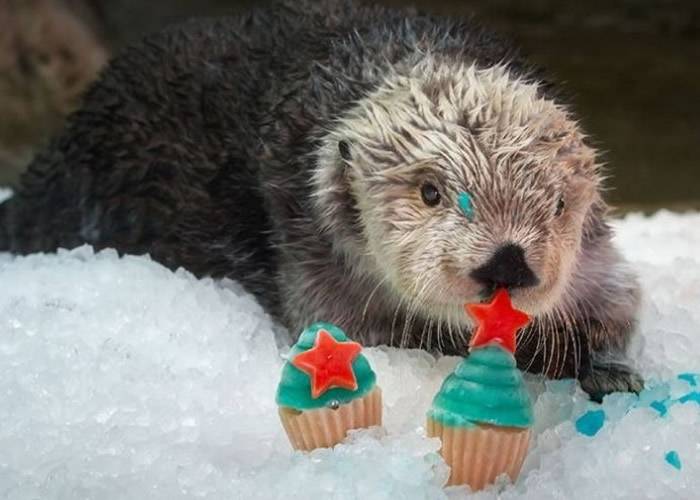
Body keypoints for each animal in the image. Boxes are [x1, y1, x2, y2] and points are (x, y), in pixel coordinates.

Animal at [0, 0, 640, 398]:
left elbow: (618, 307)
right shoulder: (312, 258)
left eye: (559, 207)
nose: (506, 263)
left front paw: (609, 373)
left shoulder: (594, 260)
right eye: (431, 192)